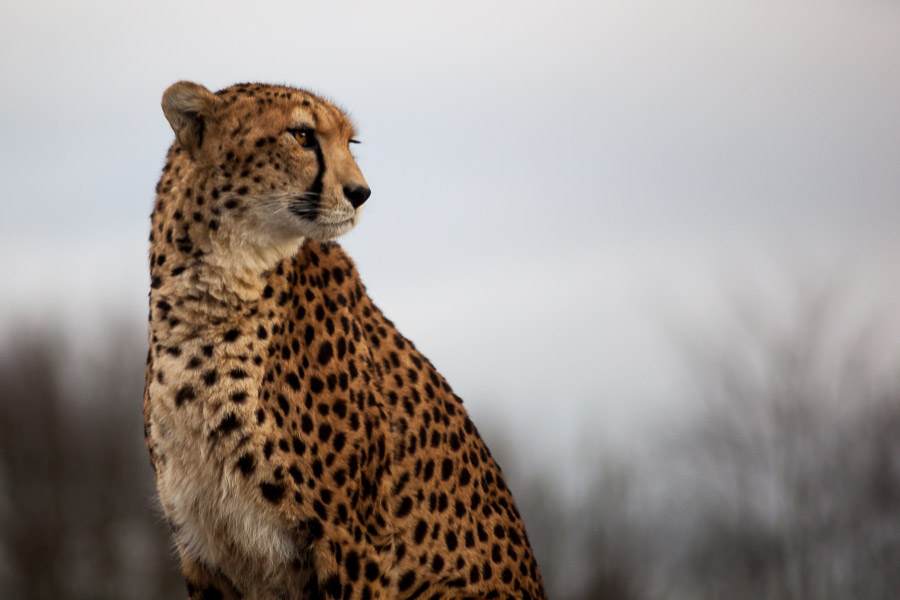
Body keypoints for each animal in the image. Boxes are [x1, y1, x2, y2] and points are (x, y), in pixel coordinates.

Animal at [144, 81, 544, 600]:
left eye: (350, 143)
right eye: (301, 135)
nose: (361, 192)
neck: (210, 298)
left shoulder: (354, 540)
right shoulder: (203, 547)